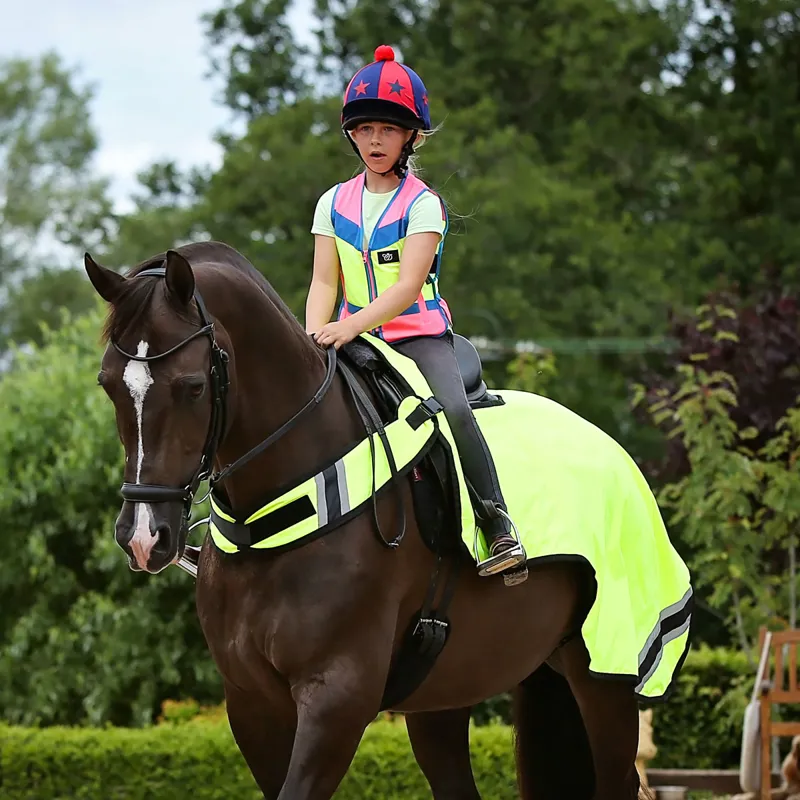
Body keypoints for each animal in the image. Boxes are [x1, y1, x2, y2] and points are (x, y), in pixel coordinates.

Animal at [84, 240, 671, 800]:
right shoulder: (252, 703)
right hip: (447, 693)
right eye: (108, 383)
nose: (143, 536)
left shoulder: (336, 698)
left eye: (192, 386)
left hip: (604, 679)